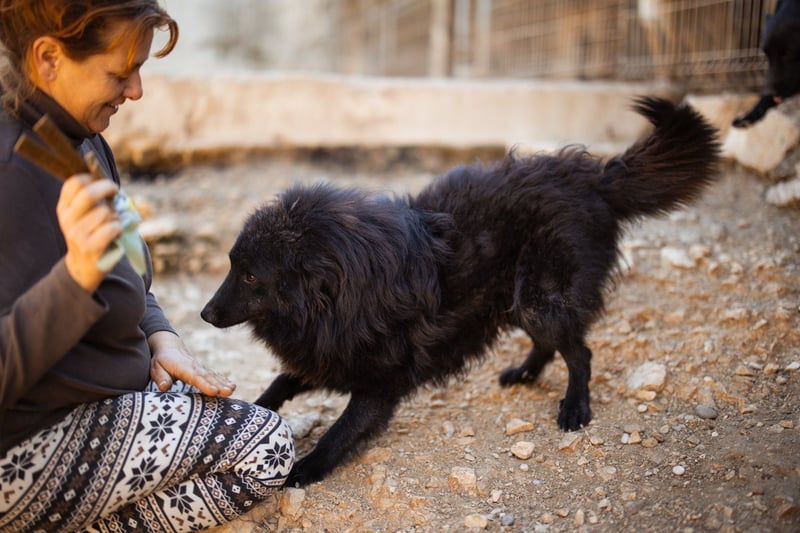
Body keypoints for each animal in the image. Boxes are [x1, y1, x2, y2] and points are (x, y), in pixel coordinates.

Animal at [201, 97, 721, 487]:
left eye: (250, 276)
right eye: (233, 266)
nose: (204, 315)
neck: (339, 295)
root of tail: (593, 178)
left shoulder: (377, 385)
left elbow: (338, 434)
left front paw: (303, 469)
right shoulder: (327, 353)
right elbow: (282, 382)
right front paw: (247, 410)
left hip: (540, 296)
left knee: (579, 351)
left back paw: (575, 406)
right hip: (518, 299)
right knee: (551, 342)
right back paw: (525, 374)